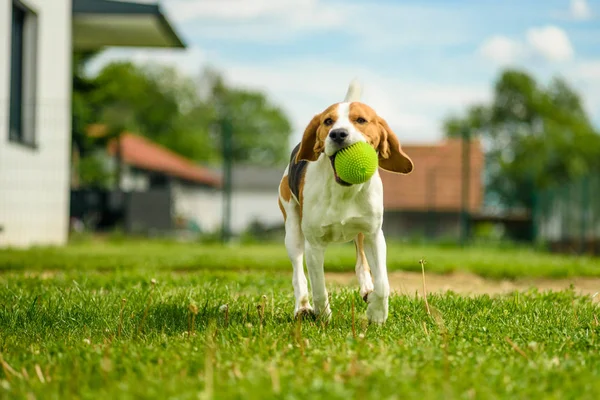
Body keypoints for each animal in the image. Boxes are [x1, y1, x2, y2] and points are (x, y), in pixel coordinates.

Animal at [278, 79, 414, 324]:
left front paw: (377, 313)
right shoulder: (314, 244)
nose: (338, 134)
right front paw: (323, 315)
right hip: (292, 231)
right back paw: (302, 308)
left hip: (360, 233)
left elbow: (383, 283)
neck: (344, 191)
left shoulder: (374, 235)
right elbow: (319, 287)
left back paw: (367, 289)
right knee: (298, 274)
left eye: (360, 120)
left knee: (361, 263)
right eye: (327, 121)